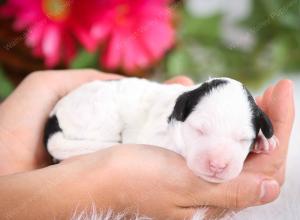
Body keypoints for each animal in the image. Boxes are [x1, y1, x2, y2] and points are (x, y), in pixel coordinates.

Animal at [43, 76, 278, 183]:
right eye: (199, 130)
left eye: (242, 140)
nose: (218, 165)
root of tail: (54, 116)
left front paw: (264, 140)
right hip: (99, 115)